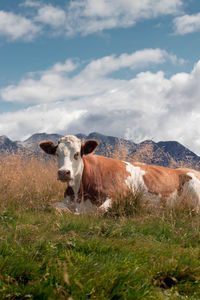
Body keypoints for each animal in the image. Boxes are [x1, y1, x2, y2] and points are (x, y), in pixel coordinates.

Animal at [38, 135, 200, 214]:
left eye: (77, 154)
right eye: (56, 154)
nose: (63, 172)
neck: (80, 194)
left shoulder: (120, 196)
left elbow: (99, 210)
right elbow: (53, 206)